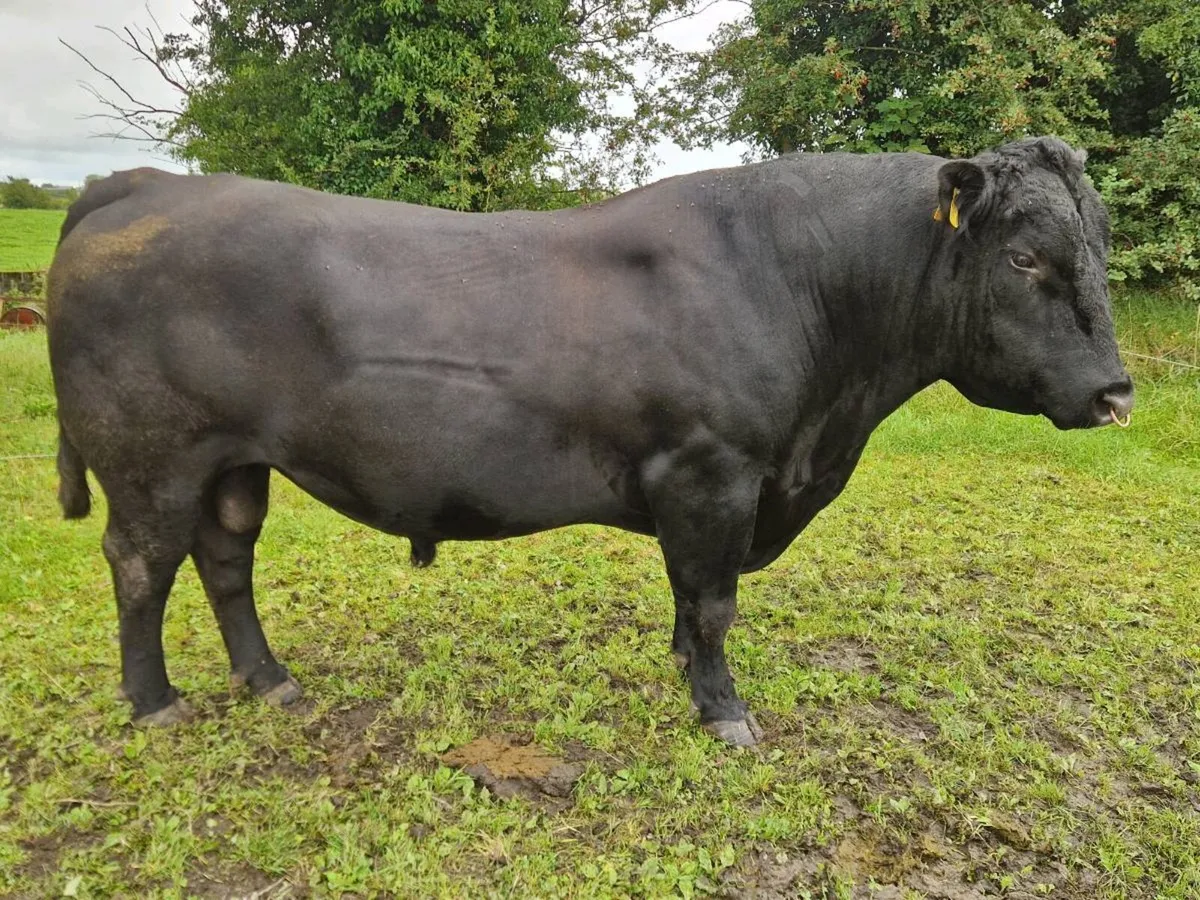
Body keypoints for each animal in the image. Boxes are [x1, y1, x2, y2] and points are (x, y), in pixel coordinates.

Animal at [47, 136, 1132, 746]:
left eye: (1100, 245)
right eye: (1025, 258)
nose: (1116, 393)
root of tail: (138, 185)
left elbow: (690, 601)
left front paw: (689, 681)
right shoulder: (711, 471)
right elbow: (713, 603)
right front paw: (725, 713)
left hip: (235, 461)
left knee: (225, 558)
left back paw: (269, 683)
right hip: (151, 459)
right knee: (141, 565)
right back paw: (155, 704)